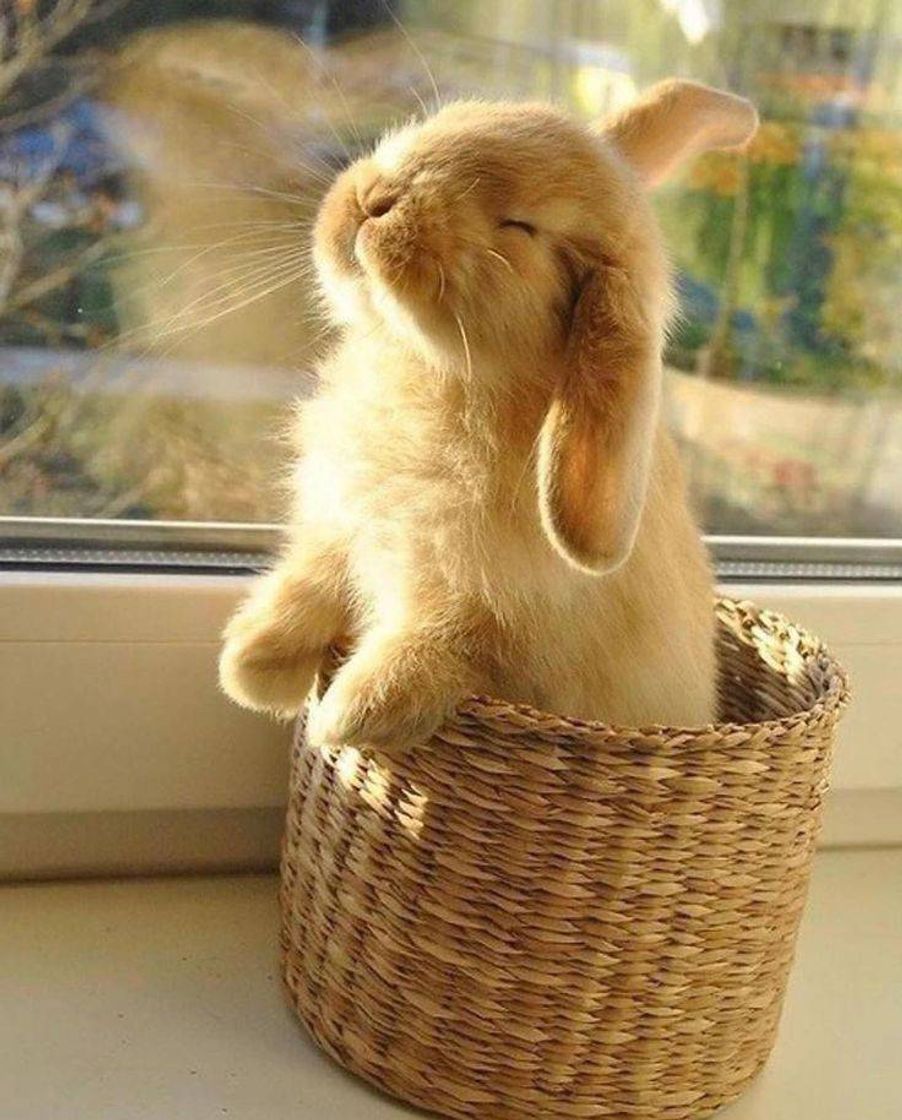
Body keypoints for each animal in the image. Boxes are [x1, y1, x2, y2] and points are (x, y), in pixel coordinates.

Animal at [219, 80, 758, 746]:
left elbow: (444, 645)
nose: (376, 199)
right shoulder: (344, 526)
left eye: (519, 228)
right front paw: (249, 665)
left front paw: (351, 714)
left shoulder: (492, 615)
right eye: (447, 121)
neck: (441, 373)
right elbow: (310, 581)